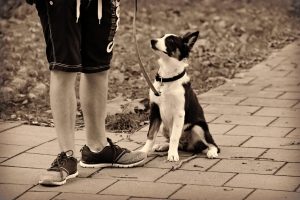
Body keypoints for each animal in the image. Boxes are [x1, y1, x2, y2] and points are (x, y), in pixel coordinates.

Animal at [139, 31, 219, 162]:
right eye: (161, 37)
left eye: (171, 41)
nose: (152, 41)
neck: (167, 78)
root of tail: (189, 145)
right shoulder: (155, 109)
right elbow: (150, 134)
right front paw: (143, 151)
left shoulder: (179, 113)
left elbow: (174, 137)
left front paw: (172, 155)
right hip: (164, 126)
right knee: (179, 144)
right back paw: (163, 146)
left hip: (198, 127)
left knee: (213, 144)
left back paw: (211, 152)